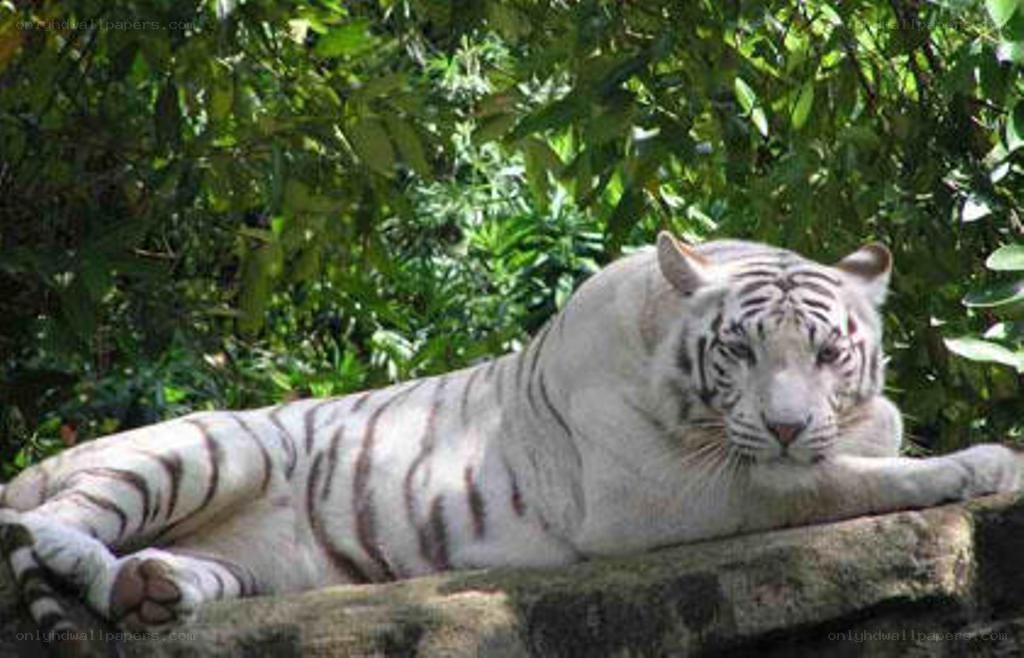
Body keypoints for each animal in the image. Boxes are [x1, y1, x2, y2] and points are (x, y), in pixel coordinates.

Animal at [1, 232, 1021, 635]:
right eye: (739, 348)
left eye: (828, 353)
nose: (784, 422)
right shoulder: (668, 494)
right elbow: (832, 481)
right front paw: (981, 461)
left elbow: (862, 442)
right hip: (214, 449)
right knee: (52, 520)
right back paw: (89, 559)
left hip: (254, 560)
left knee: (168, 569)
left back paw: (151, 593)